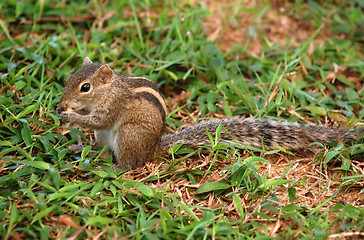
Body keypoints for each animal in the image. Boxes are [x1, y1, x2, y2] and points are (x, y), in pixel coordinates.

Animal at [57, 56, 364, 169]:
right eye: (69, 78)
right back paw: (81, 150)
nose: (61, 104)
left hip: (128, 136)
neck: (109, 89)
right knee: (100, 148)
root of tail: (153, 148)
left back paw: (111, 167)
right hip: (104, 138)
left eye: (85, 87)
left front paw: (71, 116)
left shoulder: (113, 106)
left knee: (130, 165)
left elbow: (99, 118)